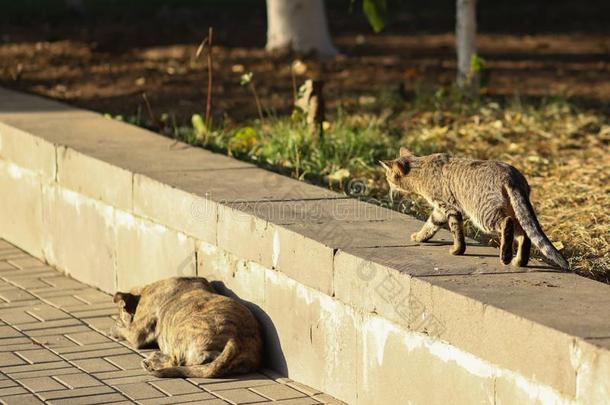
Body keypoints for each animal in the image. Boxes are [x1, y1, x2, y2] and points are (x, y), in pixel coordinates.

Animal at [110, 276, 262, 378]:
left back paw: (153, 361)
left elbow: (123, 330)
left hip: (182, 334)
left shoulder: (136, 331)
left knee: (175, 361)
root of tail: (235, 339)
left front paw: (115, 328)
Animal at [378, 147, 568, 270]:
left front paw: (457, 250)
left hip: (485, 215)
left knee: (507, 225)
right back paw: (519, 262)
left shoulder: (449, 207)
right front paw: (419, 236)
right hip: (515, 210)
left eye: (388, 177)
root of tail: (512, 176)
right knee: (524, 233)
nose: (388, 185)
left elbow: (456, 232)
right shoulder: (439, 211)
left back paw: (505, 257)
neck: (421, 168)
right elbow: (430, 225)